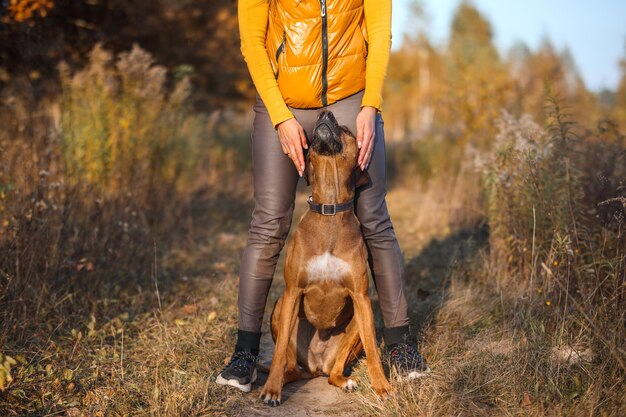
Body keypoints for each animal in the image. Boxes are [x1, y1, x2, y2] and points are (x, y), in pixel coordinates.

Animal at [258, 111, 390, 406]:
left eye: (347, 130)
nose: (325, 112)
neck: (329, 207)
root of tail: (315, 367)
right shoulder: (293, 291)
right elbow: (278, 351)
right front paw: (271, 390)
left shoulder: (361, 297)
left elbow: (374, 351)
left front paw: (383, 387)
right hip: (280, 309)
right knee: (290, 367)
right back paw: (280, 380)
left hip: (356, 327)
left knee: (334, 372)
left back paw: (345, 381)